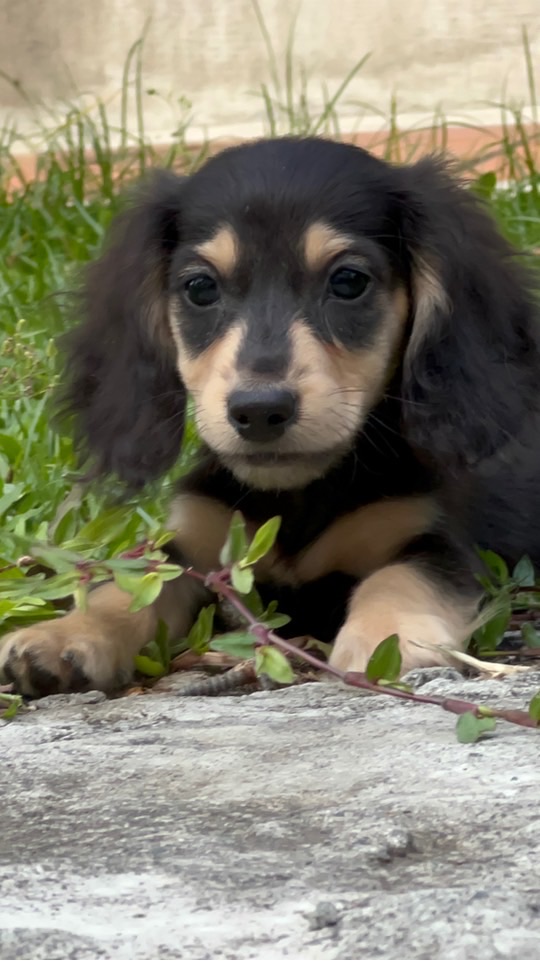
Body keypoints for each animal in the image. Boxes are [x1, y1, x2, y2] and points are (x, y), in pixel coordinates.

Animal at [2, 135, 536, 692]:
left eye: (349, 281)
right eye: (200, 287)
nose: (259, 411)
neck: (299, 496)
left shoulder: (438, 542)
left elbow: (400, 577)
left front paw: (384, 639)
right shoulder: (196, 546)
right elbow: (131, 581)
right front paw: (64, 634)